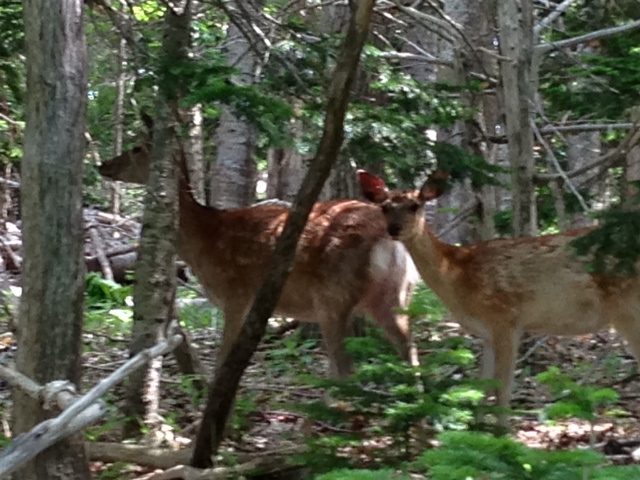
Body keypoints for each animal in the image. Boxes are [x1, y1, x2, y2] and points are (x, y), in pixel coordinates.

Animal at [97, 129, 420, 382]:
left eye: (137, 147)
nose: (103, 165)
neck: (205, 240)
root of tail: (388, 236)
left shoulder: (237, 294)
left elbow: (223, 361)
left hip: (333, 295)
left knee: (345, 369)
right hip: (395, 293)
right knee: (410, 353)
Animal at [358, 169, 640, 427]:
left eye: (415, 205)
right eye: (384, 207)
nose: (394, 228)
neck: (456, 274)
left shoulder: (505, 319)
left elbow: (503, 388)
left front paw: (503, 435)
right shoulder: (486, 332)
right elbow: (483, 385)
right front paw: (477, 432)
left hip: (627, 309)